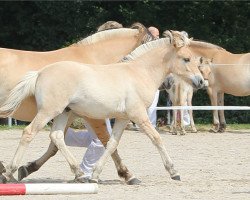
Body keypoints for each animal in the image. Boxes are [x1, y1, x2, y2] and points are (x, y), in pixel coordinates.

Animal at [0, 30, 205, 183]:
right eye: (186, 59)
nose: (201, 81)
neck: (138, 72)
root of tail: (40, 73)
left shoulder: (123, 118)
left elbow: (112, 144)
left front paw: (98, 175)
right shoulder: (138, 115)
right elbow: (156, 139)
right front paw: (173, 172)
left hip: (62, 113)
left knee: (56, 137)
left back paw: (79, 174)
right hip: (48, 111)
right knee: (29, 133)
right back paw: (9, 172)